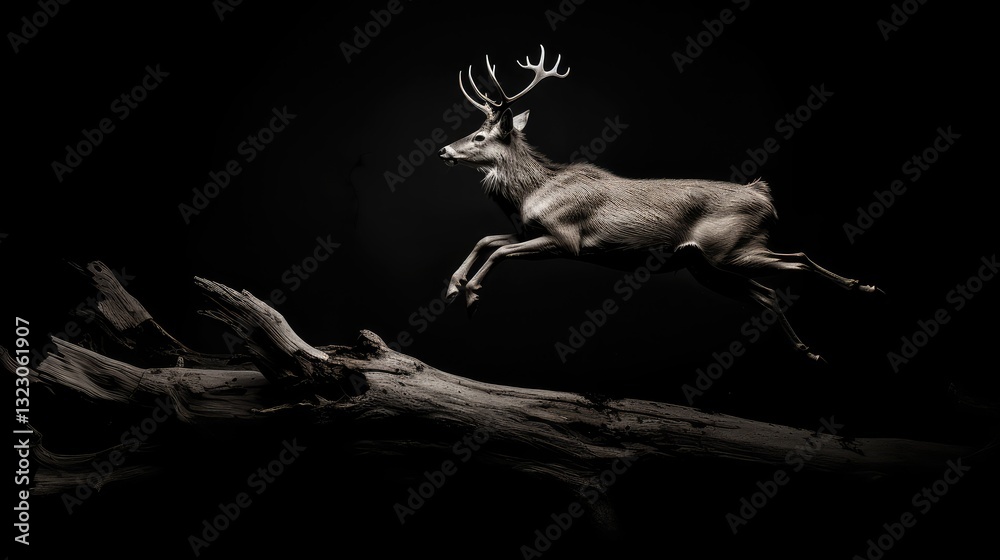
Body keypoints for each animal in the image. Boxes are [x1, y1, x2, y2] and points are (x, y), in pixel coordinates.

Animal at [438, 45, 879, 362]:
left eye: (480, 136)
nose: (444, 149)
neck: (532, 192)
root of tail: (763, 196)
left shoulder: (566, 239)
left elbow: (500, 251)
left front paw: (472, 296)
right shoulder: (527, 230)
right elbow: (486, 240)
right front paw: (453, 286)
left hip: (729, 251)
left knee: (799, 259)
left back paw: (863, 287)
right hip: (705, 265)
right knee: (768, 292)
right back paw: (810, 350)